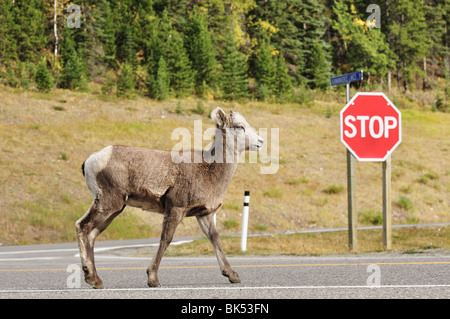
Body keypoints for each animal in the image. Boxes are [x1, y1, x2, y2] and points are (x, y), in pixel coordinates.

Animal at [74, 108, 264, 290]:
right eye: (239, 126)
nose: (260, 141)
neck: (209, 170)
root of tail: (90, 161)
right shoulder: (176, 209)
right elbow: (166, 239)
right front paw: (153, 279)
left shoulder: (204, 215)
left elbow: (215, 238)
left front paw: (233, 275)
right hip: (109, 203)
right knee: (82, 226)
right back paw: (92, 279)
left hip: (115, 208)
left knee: (92, 233)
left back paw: (95, 279)